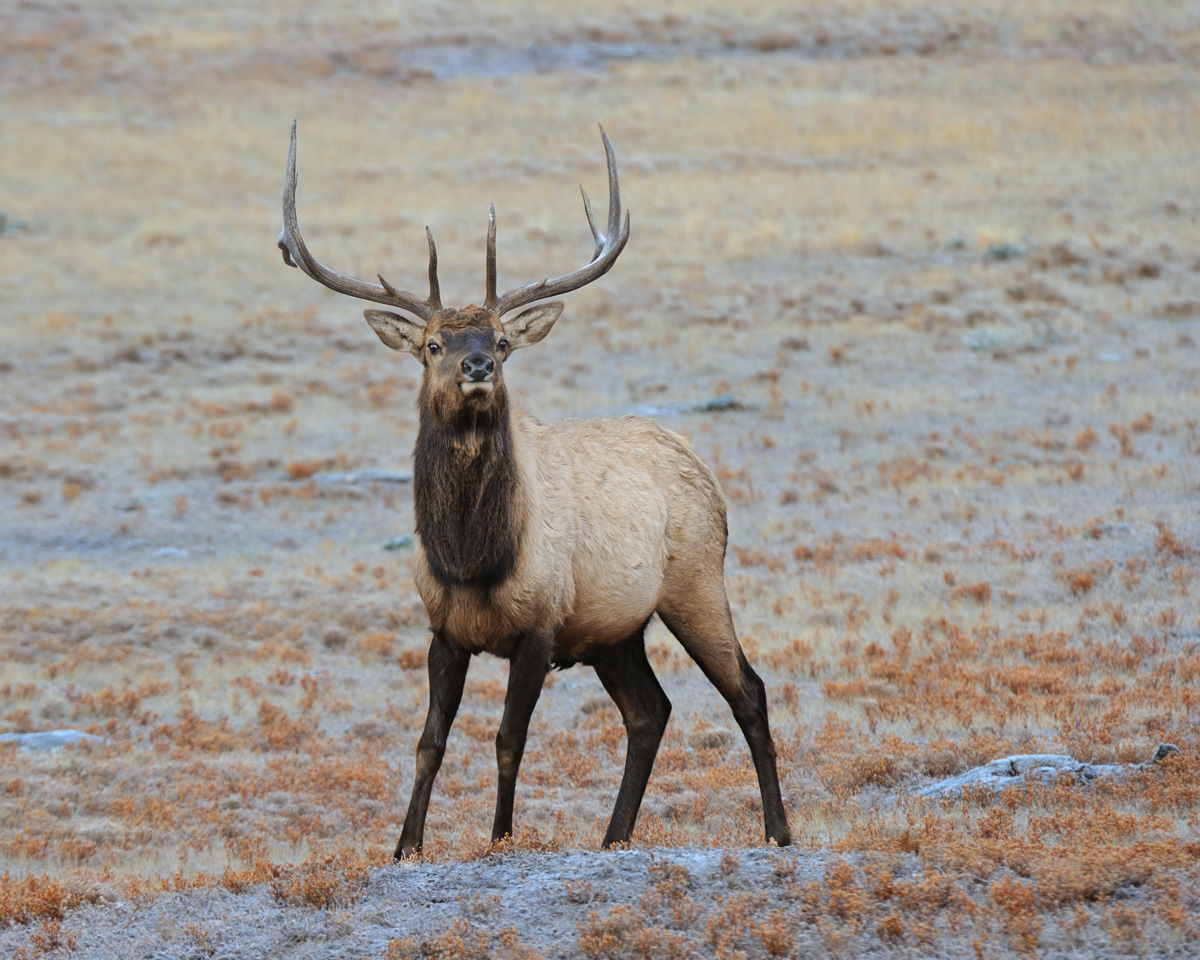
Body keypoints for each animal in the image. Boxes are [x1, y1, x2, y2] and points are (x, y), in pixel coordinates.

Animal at [278, 121, 792, 859]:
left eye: (500, 339)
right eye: (432, 344)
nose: (477, 365)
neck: (471, 558)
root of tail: (704, 471)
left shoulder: (541, 625)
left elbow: (508, 741)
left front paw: (500, 838)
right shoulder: (443, 629)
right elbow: (428, 743)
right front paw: (404, 848)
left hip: (695, 579)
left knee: (747, 690)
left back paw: (778, 832)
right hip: (614, 627)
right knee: (651, 711)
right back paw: (613, 838)